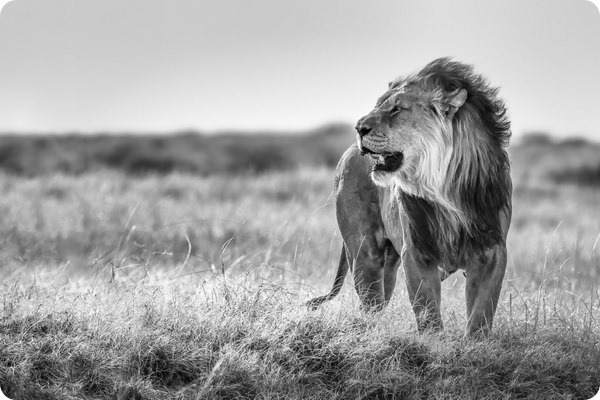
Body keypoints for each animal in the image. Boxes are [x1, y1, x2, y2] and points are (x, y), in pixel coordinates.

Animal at [310, 57, 510, 336]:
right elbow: (427, 311)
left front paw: (477, 344)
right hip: (365, 253)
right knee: (370, 303)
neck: (446, 189)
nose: (359, 128)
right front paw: (433, 343)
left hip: (389, 265)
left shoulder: (492, 251)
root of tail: (348, 151)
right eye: (377, 105)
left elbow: (481, 313)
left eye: (397, 109)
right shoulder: (416, 251)